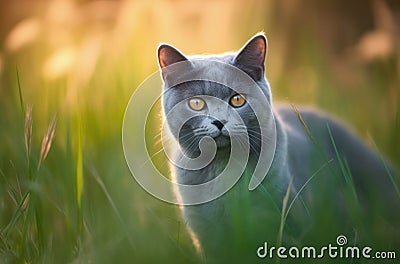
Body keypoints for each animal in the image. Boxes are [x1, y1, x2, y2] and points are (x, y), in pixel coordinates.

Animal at [155, 33, 396, 262]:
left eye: (237, 100)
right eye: (196, 103)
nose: (219, 121)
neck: (225, 168)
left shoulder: (286, 219)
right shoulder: (206, 235)